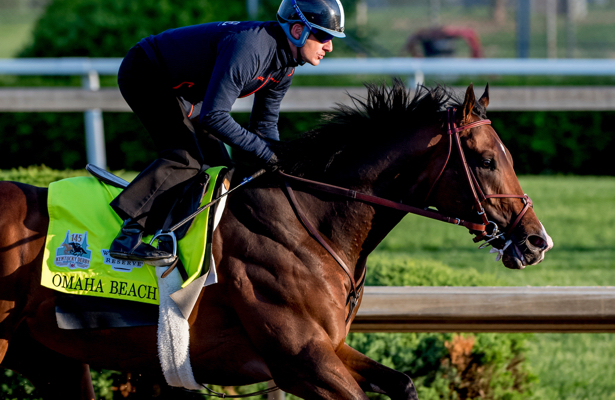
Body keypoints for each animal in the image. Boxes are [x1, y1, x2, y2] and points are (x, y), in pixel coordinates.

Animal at [0, 83, 552, 398]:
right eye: (486, 159)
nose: (536, 241)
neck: (310, 223)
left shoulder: (328, 347)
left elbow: (404, 383)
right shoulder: (300, 361)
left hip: (49, 354)